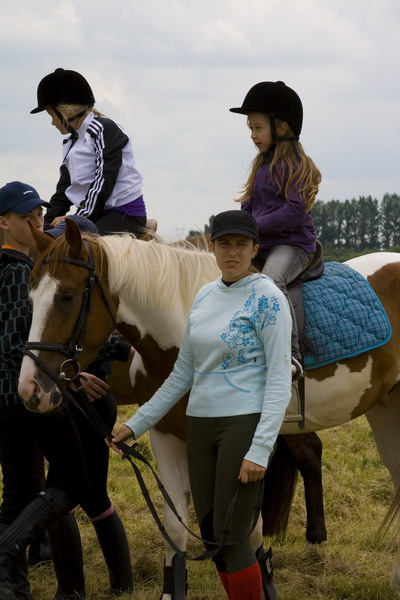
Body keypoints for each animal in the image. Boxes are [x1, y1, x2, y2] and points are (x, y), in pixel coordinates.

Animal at [18, 220, 400, 596]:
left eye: (67, 296)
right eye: (32, 298)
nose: (30, 389)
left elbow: (247, 536)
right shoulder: (167, 438)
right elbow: (177, 529)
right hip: (383, 410)